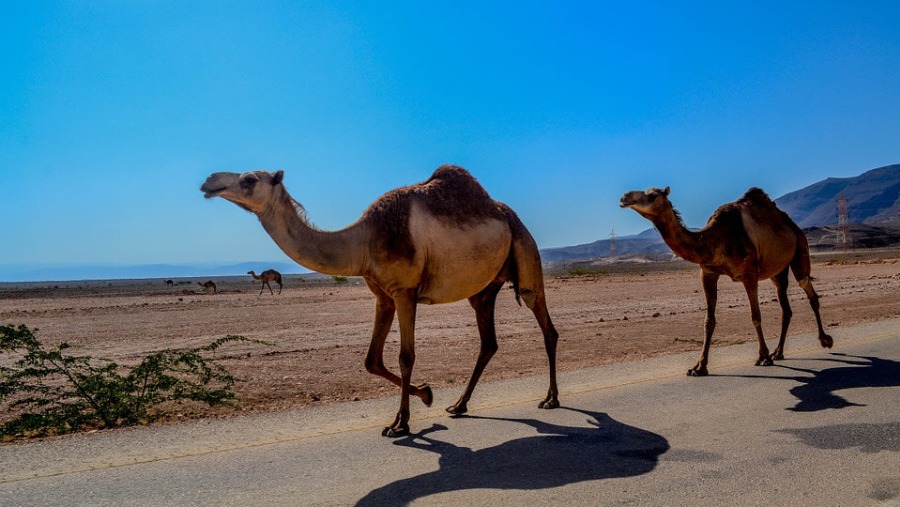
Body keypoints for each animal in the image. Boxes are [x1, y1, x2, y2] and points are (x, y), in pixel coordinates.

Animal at [200, 165, 560, 434]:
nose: (209, 181)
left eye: (249, 179)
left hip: (524, 251)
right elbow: (371, 360)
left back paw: (551, 399)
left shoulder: (405, 292)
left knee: (546, 326)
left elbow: (406, 357)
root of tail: (509, 216)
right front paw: (426, 395)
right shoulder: (382, 296)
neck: (364, 240)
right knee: (488, 342)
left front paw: (401, 423)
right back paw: (459, 405)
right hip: (484, 290)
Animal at [620, 187, 836, 378]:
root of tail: (791, 225)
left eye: (652, 195)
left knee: (808, 289)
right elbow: (709, 321)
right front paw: (699, 367)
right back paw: (779, 352)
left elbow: (755, 316)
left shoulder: (749, 275)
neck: (715, 240)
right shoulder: (707, 273)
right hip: (778, 272)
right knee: (786, 307)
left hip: (800, 248)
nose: (624, 197)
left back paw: (824, 340)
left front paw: (763, 357)